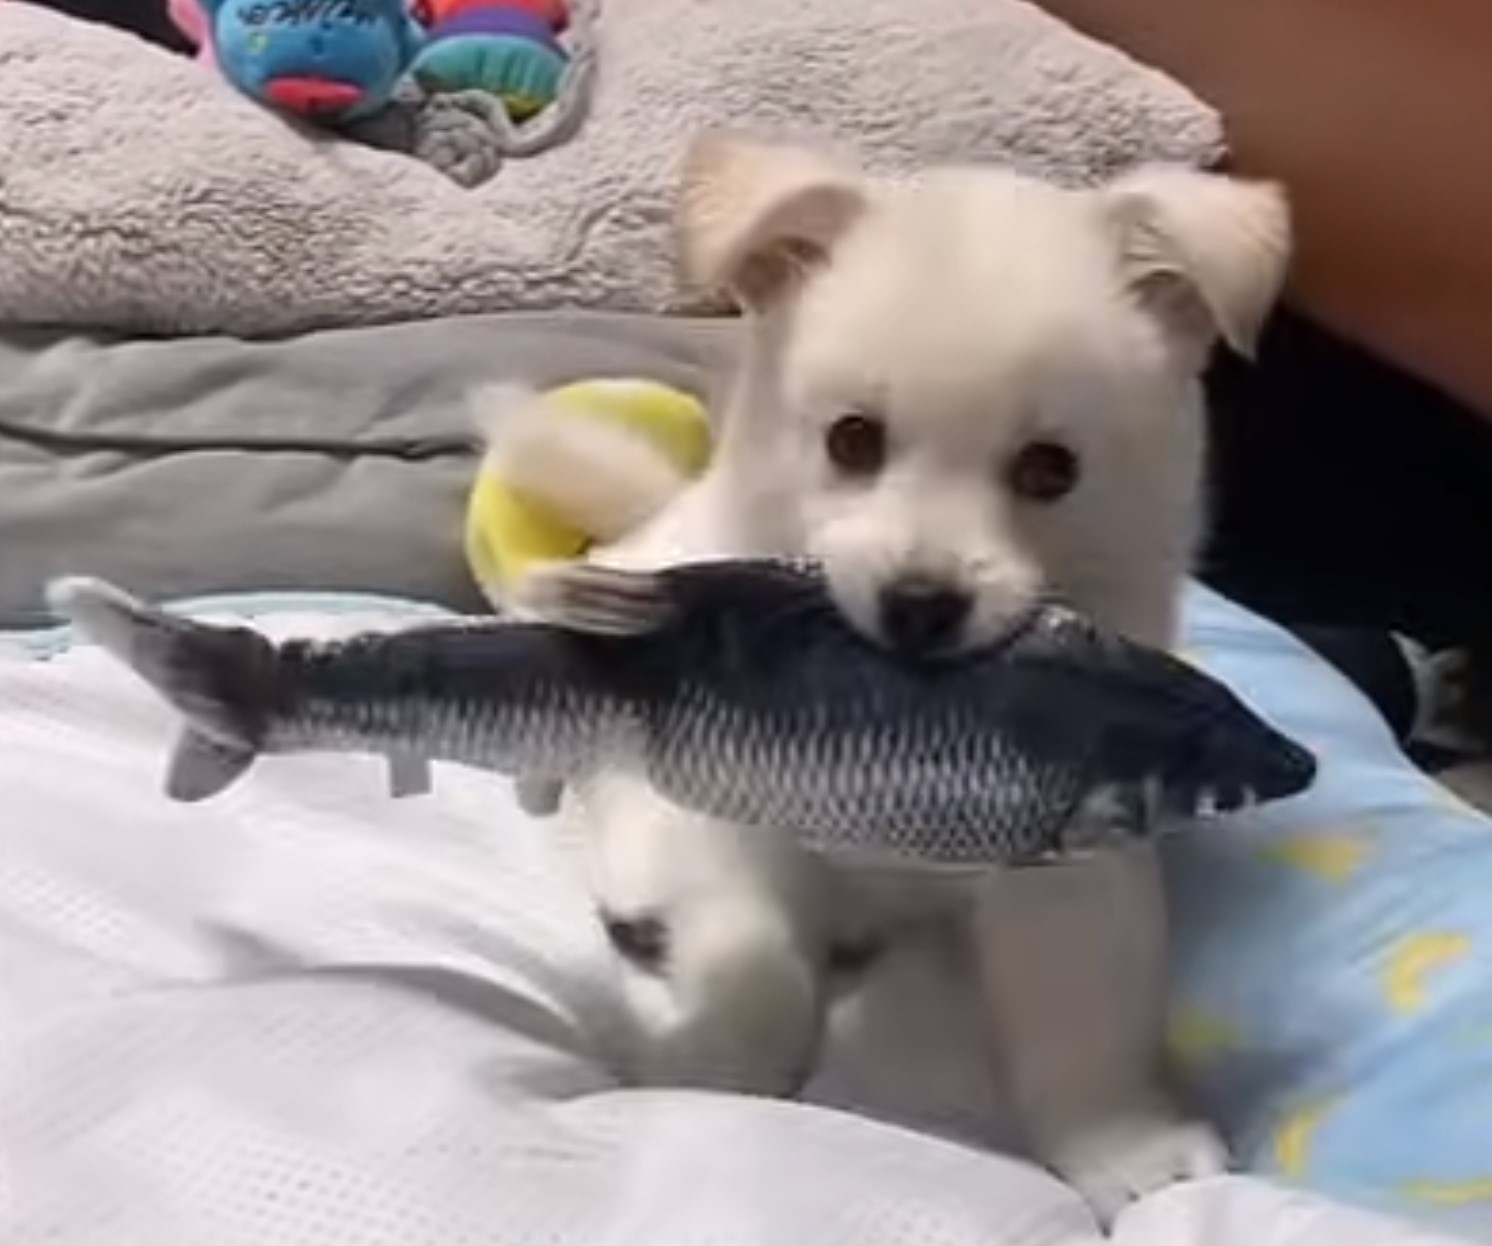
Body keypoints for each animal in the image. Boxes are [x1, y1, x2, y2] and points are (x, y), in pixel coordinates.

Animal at [495, 134, 1289, 1217]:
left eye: (1050, 469)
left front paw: (1126, 1142)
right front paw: (709, 1067)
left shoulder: (1071, 861)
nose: (920, 603)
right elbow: (755, 960)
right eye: (852, 440)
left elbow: (1087, 1007)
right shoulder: (700, 808)